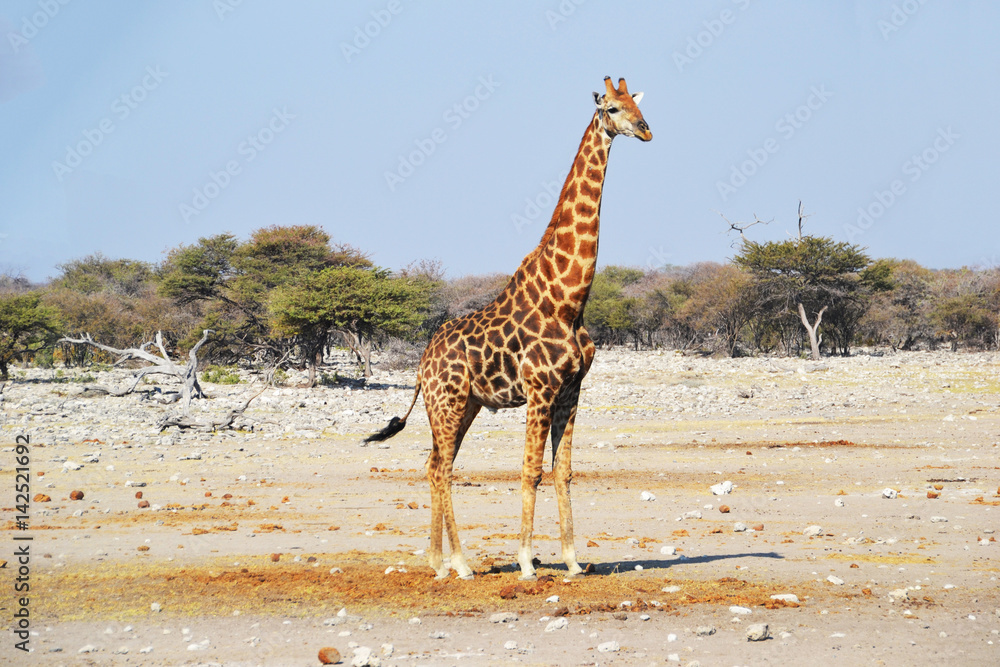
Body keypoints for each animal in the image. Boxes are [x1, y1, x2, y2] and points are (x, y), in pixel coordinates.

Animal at [366, 76, 651, 581]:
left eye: (638, 103)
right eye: (613, 108)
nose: (645, 130)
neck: (568, 300)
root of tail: (421, 365)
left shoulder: (571, 390)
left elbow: (563, 471)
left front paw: (573, 560)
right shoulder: (540, 390)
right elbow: (530, 470)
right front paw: (526, 562)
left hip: (465, 405)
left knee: (434, 463)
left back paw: (438, 561)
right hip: (447, 403)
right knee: (441, 468)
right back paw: (461, 564)